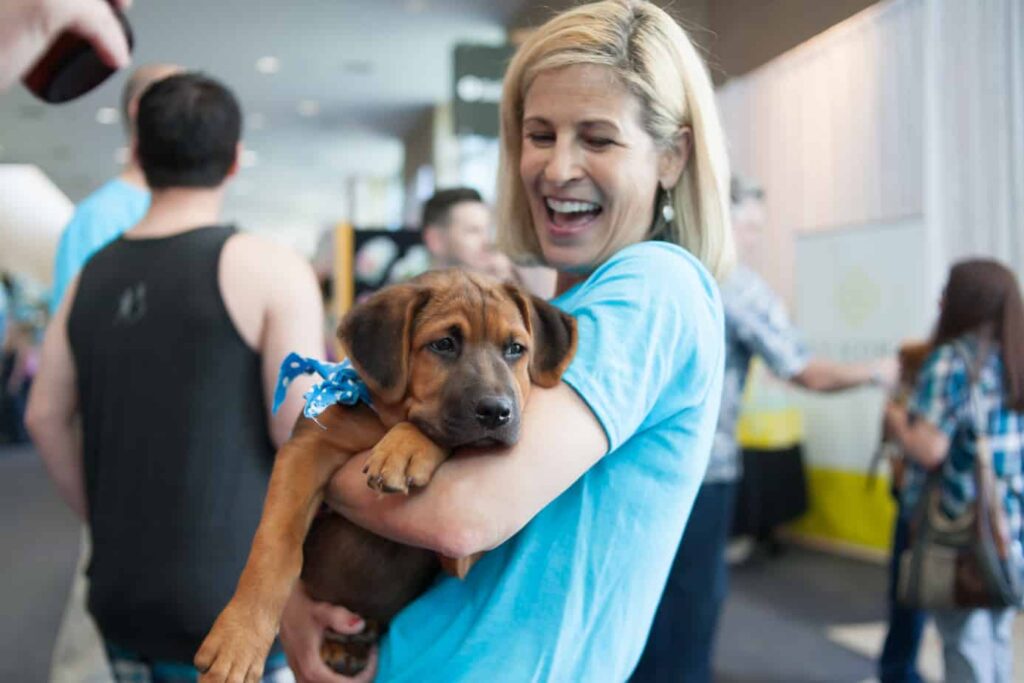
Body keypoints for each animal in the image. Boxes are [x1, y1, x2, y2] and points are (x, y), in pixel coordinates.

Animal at [192, 270, 577, 683]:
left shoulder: (462, 557)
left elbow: (434, 431)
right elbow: (275, 546)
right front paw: (238, 640)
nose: (496, 412)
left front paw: (405, 447)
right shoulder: (306, 448)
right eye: (444, 344)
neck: (384, 421)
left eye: (516, 349)